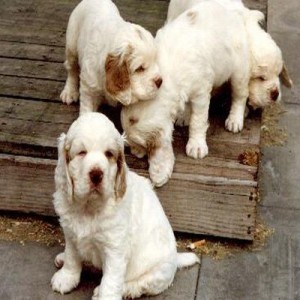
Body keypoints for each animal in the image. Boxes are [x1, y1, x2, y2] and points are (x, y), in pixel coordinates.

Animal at [51, 112, 199, 300]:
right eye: (81, 153)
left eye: (109, 154)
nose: (97, 174)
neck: (89, 206)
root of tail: (175, 259)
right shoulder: (70, 233)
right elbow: (72, 257)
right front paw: (66, 278)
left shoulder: (115, 249)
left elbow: (111, 280)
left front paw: (104, 294)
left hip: (157, 272)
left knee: (139, 284)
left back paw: (115, 290)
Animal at [122, 1, 253, 186]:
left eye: (141, 145)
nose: (134, 152)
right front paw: (184, 115)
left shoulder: (201, 92)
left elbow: (198, 121)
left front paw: (196, 146)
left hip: (239, 68)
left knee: (240, 95)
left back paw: (235, 119)